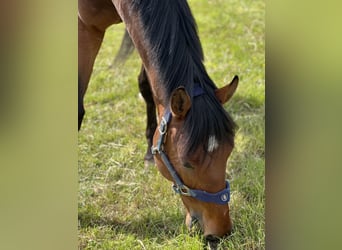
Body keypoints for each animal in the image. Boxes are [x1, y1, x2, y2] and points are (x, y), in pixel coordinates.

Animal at [78, 0, 238, 242]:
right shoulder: (86, 28)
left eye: (229, 153)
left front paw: (148, 153)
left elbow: (147, 84)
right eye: (187, 163)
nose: (220, 232)